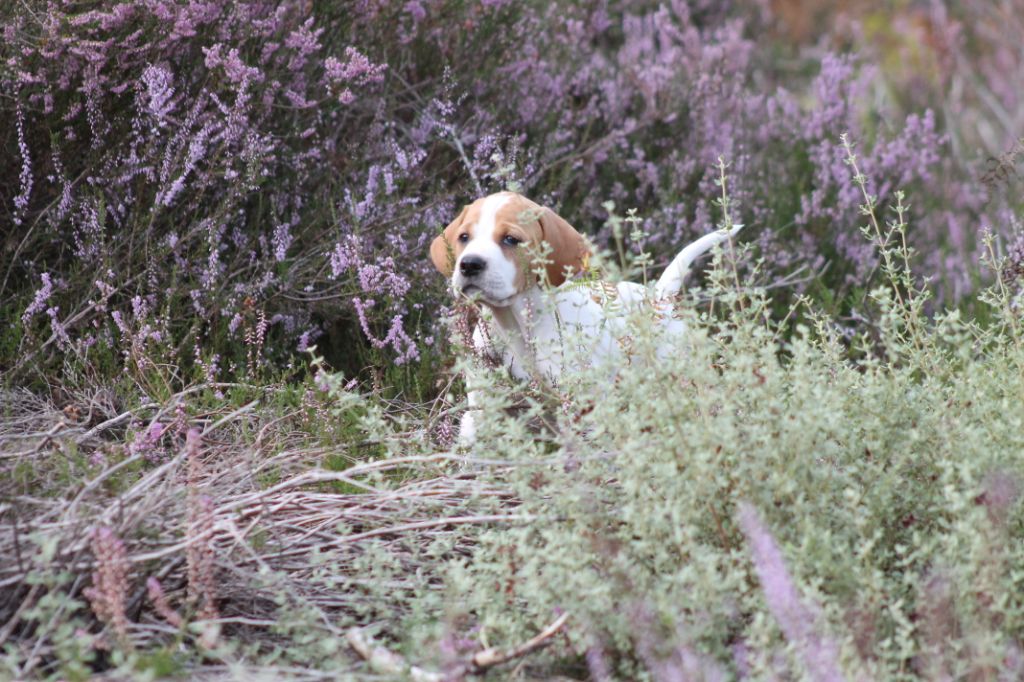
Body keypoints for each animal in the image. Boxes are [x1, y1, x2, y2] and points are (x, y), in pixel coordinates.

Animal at [428, 191, 741, 444]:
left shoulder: (581, 406)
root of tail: (659, 296)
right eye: (464, 238)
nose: (469, 264)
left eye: (510, 239)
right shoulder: (483, 405)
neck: (516, 325)